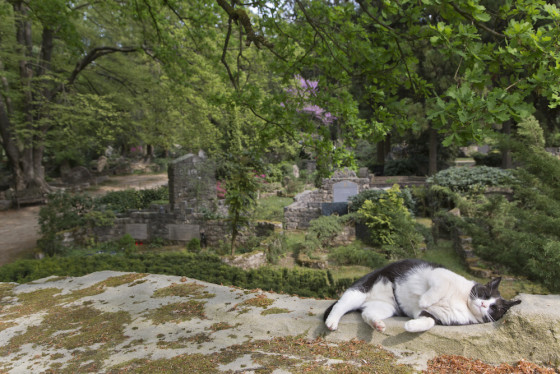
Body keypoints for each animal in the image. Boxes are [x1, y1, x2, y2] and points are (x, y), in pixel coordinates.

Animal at [324, 258, 520, 332]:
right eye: (485, 295)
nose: (484, 305)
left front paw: (411, 326)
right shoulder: (438, 274)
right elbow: (439, 287)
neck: (463, 303)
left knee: (367, 314)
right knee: (340, 305)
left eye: (495, 307)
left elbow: (428, 321)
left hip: (385, 307)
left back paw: (377, 324)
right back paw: (331, 322)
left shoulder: (436, 317)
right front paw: (425, 299)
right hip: (361, 289)